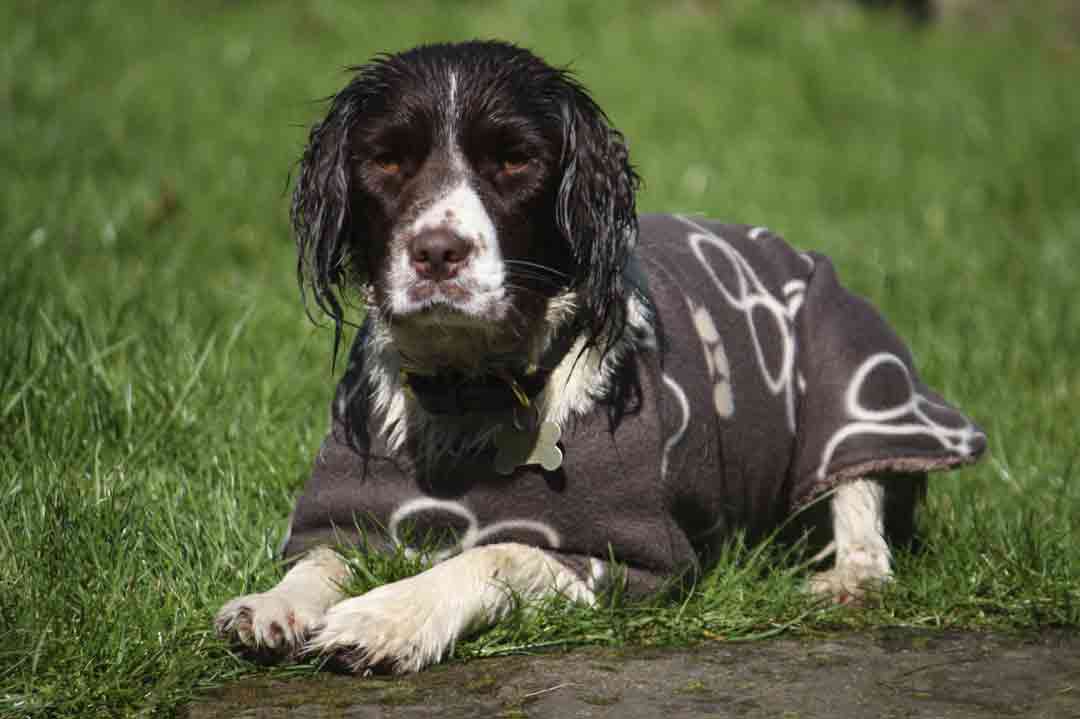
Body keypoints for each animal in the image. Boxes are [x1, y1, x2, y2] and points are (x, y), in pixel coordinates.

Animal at [212, 40, 989, 673]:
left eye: (515, 160)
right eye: (387, 160)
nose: (437, 252)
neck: (474, 389)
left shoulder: (628, 558)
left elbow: (497, 550)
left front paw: (388, 616)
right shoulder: (356, 506)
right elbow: (322, 556)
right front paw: (273, 603)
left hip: (849, 368)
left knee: (862, 501)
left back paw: (849, 577)